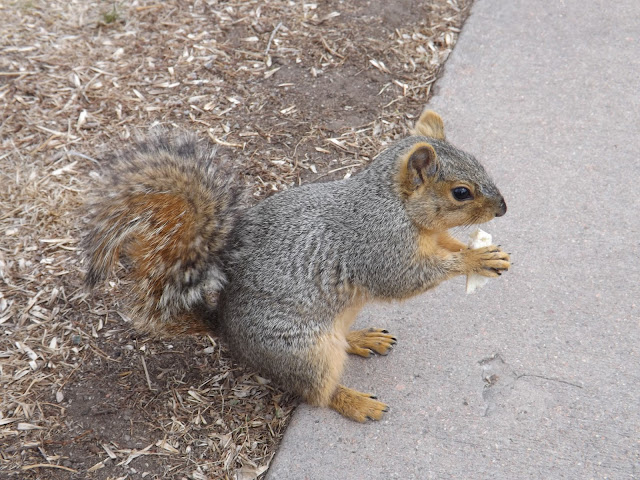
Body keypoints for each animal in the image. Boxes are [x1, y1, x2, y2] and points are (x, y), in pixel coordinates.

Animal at [82, 110, 510, 422]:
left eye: (479, 162)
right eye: (460, 192)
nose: (503, 208)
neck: (396, 205)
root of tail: (227, 332)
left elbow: (444, 245)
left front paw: (483, 251)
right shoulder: (379, 247)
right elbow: (405, 280)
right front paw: (476, 258)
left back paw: (361, 338)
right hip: (304, 352)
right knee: (317, 393)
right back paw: (355, 402)